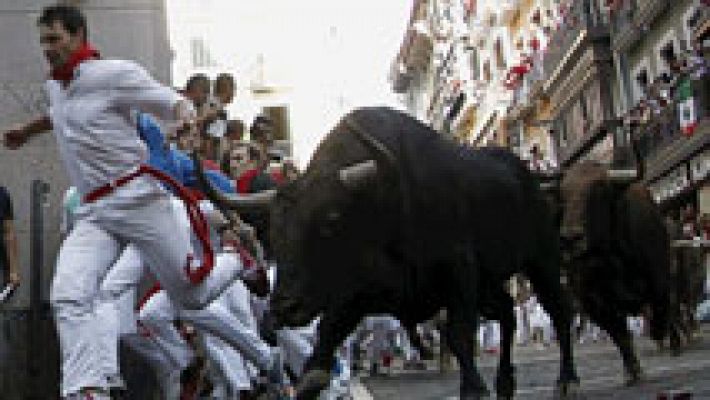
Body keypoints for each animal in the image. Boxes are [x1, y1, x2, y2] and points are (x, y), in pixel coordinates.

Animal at [197, 107, 580, 400]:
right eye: (274, 232)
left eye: (330, 223)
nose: (283, 308)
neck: (388, 200)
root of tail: (528, 176)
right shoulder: (359, 293)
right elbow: (324, 344)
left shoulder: (459, 270)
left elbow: (458, 334)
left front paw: (473, 388)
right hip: (491, 283)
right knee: (507, 313)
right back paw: (505, 382)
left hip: (542, 259)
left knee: (559, 311)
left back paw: (567, 380)